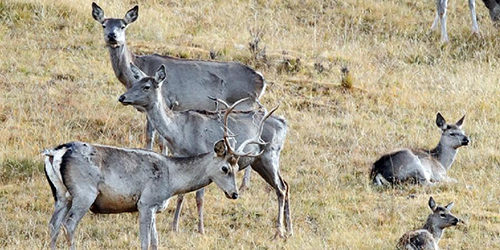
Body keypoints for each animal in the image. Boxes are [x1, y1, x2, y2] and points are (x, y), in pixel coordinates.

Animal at [41, 117, 254, 250]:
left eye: (237, 167)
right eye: (225, 168)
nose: (235, 194)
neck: (172, 179)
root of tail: (55, 153)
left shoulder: (153, 207)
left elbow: (155, 243)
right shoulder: (146, 202)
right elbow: (145, 243)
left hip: (61, 195)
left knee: (53, 224)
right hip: (84, 192)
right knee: (68, 224)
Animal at [118, 63, 292, 237]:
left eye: (146, 86)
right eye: (134, 83)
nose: (122, 97)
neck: (178, 133)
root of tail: (283, 123)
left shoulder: (203, 157)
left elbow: (199, 197)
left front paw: (200, 229)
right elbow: (181, 194)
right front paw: (174, 226)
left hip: (270, 155)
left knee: (281, 188)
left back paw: (280, 231)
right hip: (258, 161)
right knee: (285, 184)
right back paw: (289, 229)